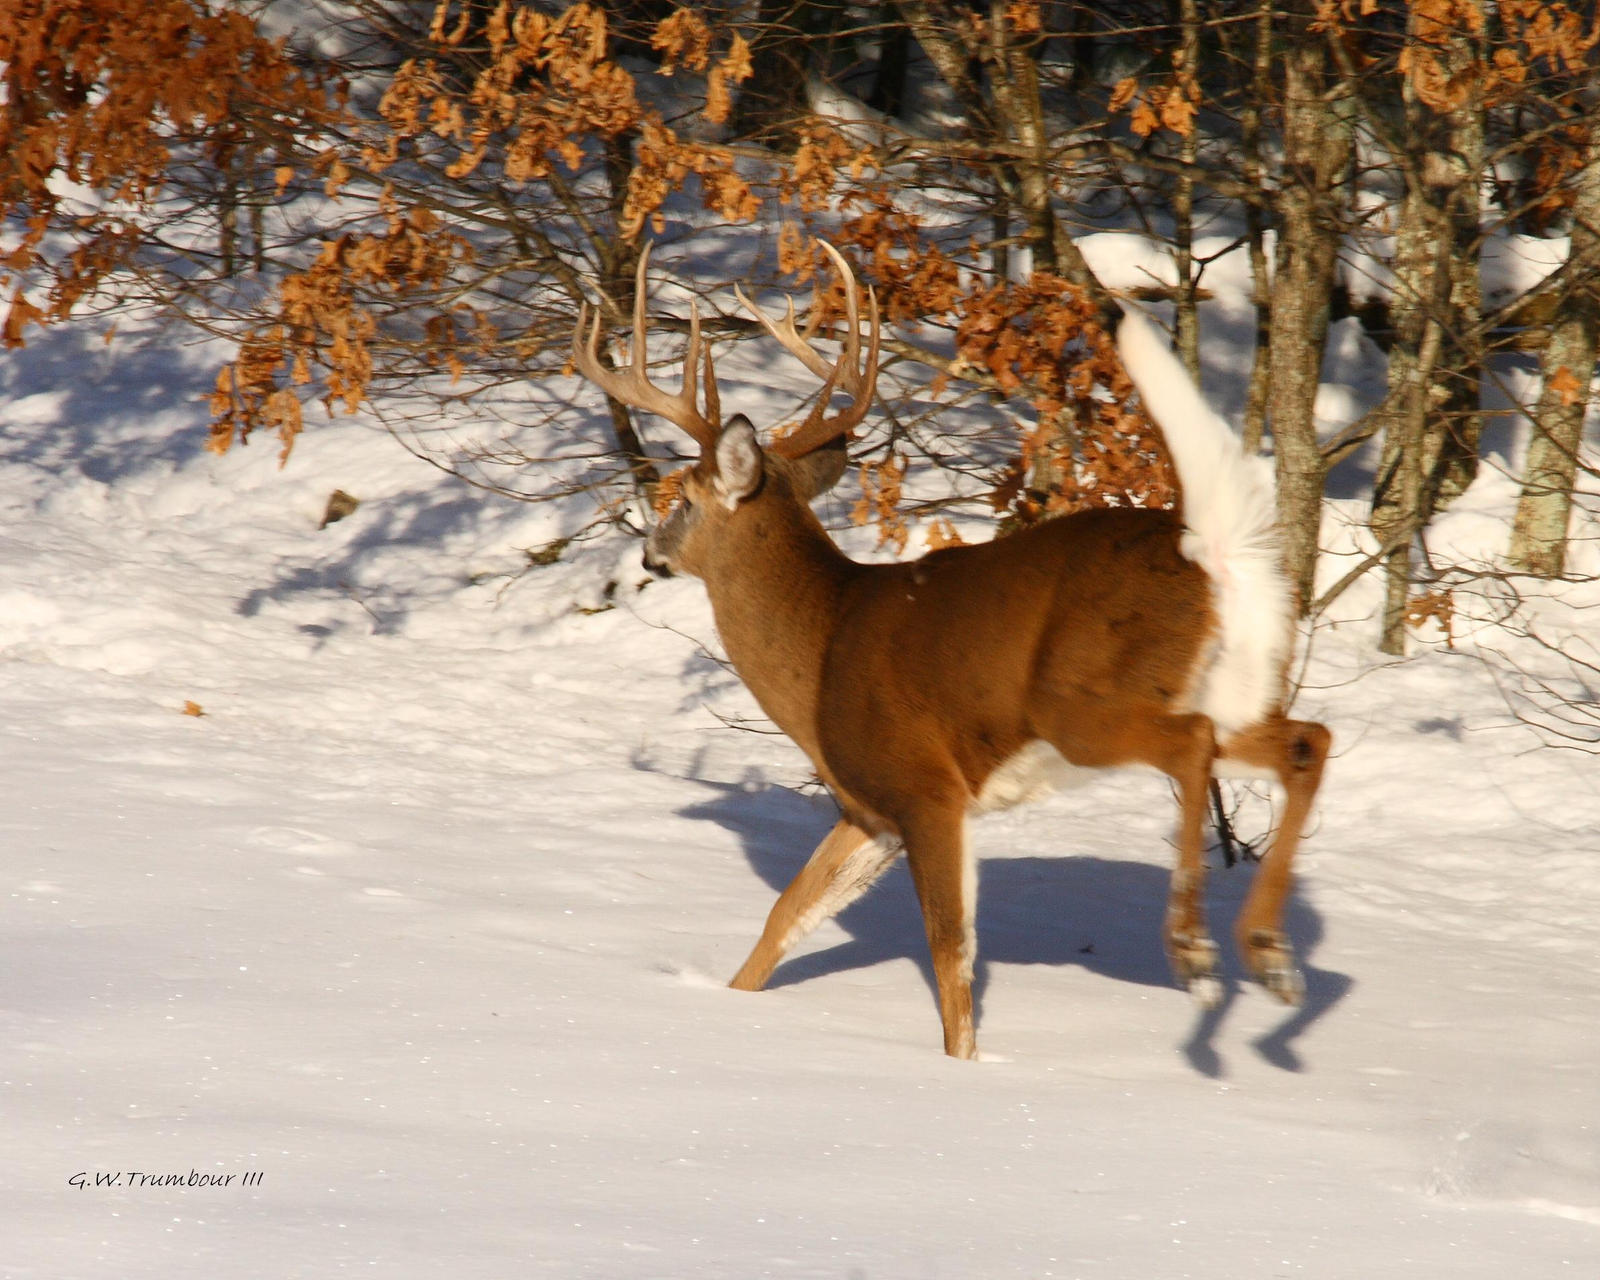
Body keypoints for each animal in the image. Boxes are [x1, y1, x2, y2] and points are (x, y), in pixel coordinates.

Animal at [569, 240, 1331, 1062]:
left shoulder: (923, 784)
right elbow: (787, 917)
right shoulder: (869, 808)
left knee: (1192, 746)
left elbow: (950, 953)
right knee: (1306, 741)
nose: (648, 554)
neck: (822, 646)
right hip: (1234, 690)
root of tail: (1214, 553)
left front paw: (960, 1066)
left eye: (682, 497)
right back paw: (1271, 961)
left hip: (1085, 700)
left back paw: (1196, 952)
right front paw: (729, 1006)